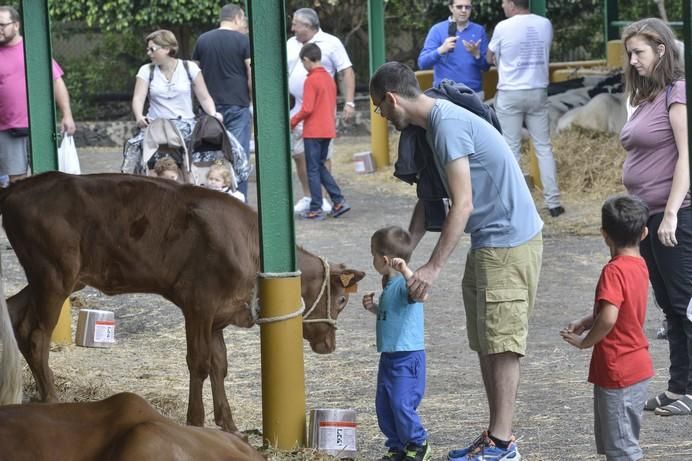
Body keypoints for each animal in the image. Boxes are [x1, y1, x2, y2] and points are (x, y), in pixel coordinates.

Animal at [0, 171, 368, 434]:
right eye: (341, 300)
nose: (330, 345)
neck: (247, 246)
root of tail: (20, 187)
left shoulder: (220, 314)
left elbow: (220, 365)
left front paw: (229, 425)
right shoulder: (198, 304)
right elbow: (200, 363)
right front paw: (196, 421)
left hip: (57, 277)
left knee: (14, 312)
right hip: (54, 274)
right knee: (36, 335)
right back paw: (50, 399)